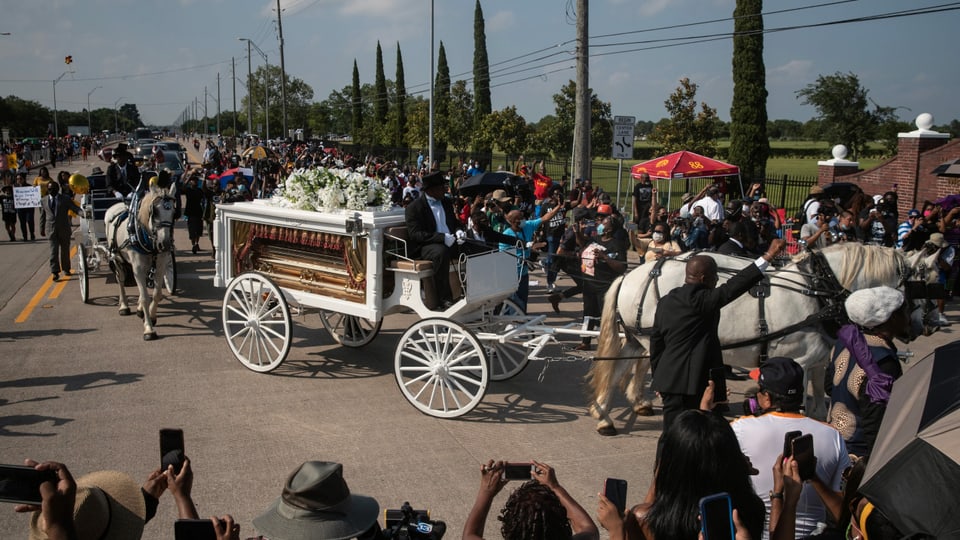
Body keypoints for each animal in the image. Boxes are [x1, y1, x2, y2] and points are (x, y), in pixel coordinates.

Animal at [105, 184, 178, 340]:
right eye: (154, 212)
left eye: (174, 213)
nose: (165, 244)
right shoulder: (137, 267)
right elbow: (145, 297)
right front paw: (149, 329)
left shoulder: (160, 265)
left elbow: (156, 294)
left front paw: (150, 315)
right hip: (117, 257)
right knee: (120, 280)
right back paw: (124, 306)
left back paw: (138, 309)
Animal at [584, 243, 936, 436]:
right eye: (923, 283)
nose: (929, 324)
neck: (818, 293)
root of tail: (631, 274)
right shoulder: (799, 361)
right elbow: (799, 407)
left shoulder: (818, 360)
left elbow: (818, 406)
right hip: (645, 338)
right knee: (630, 369)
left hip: (635, 338)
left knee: (622, 369)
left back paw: (613, 411)